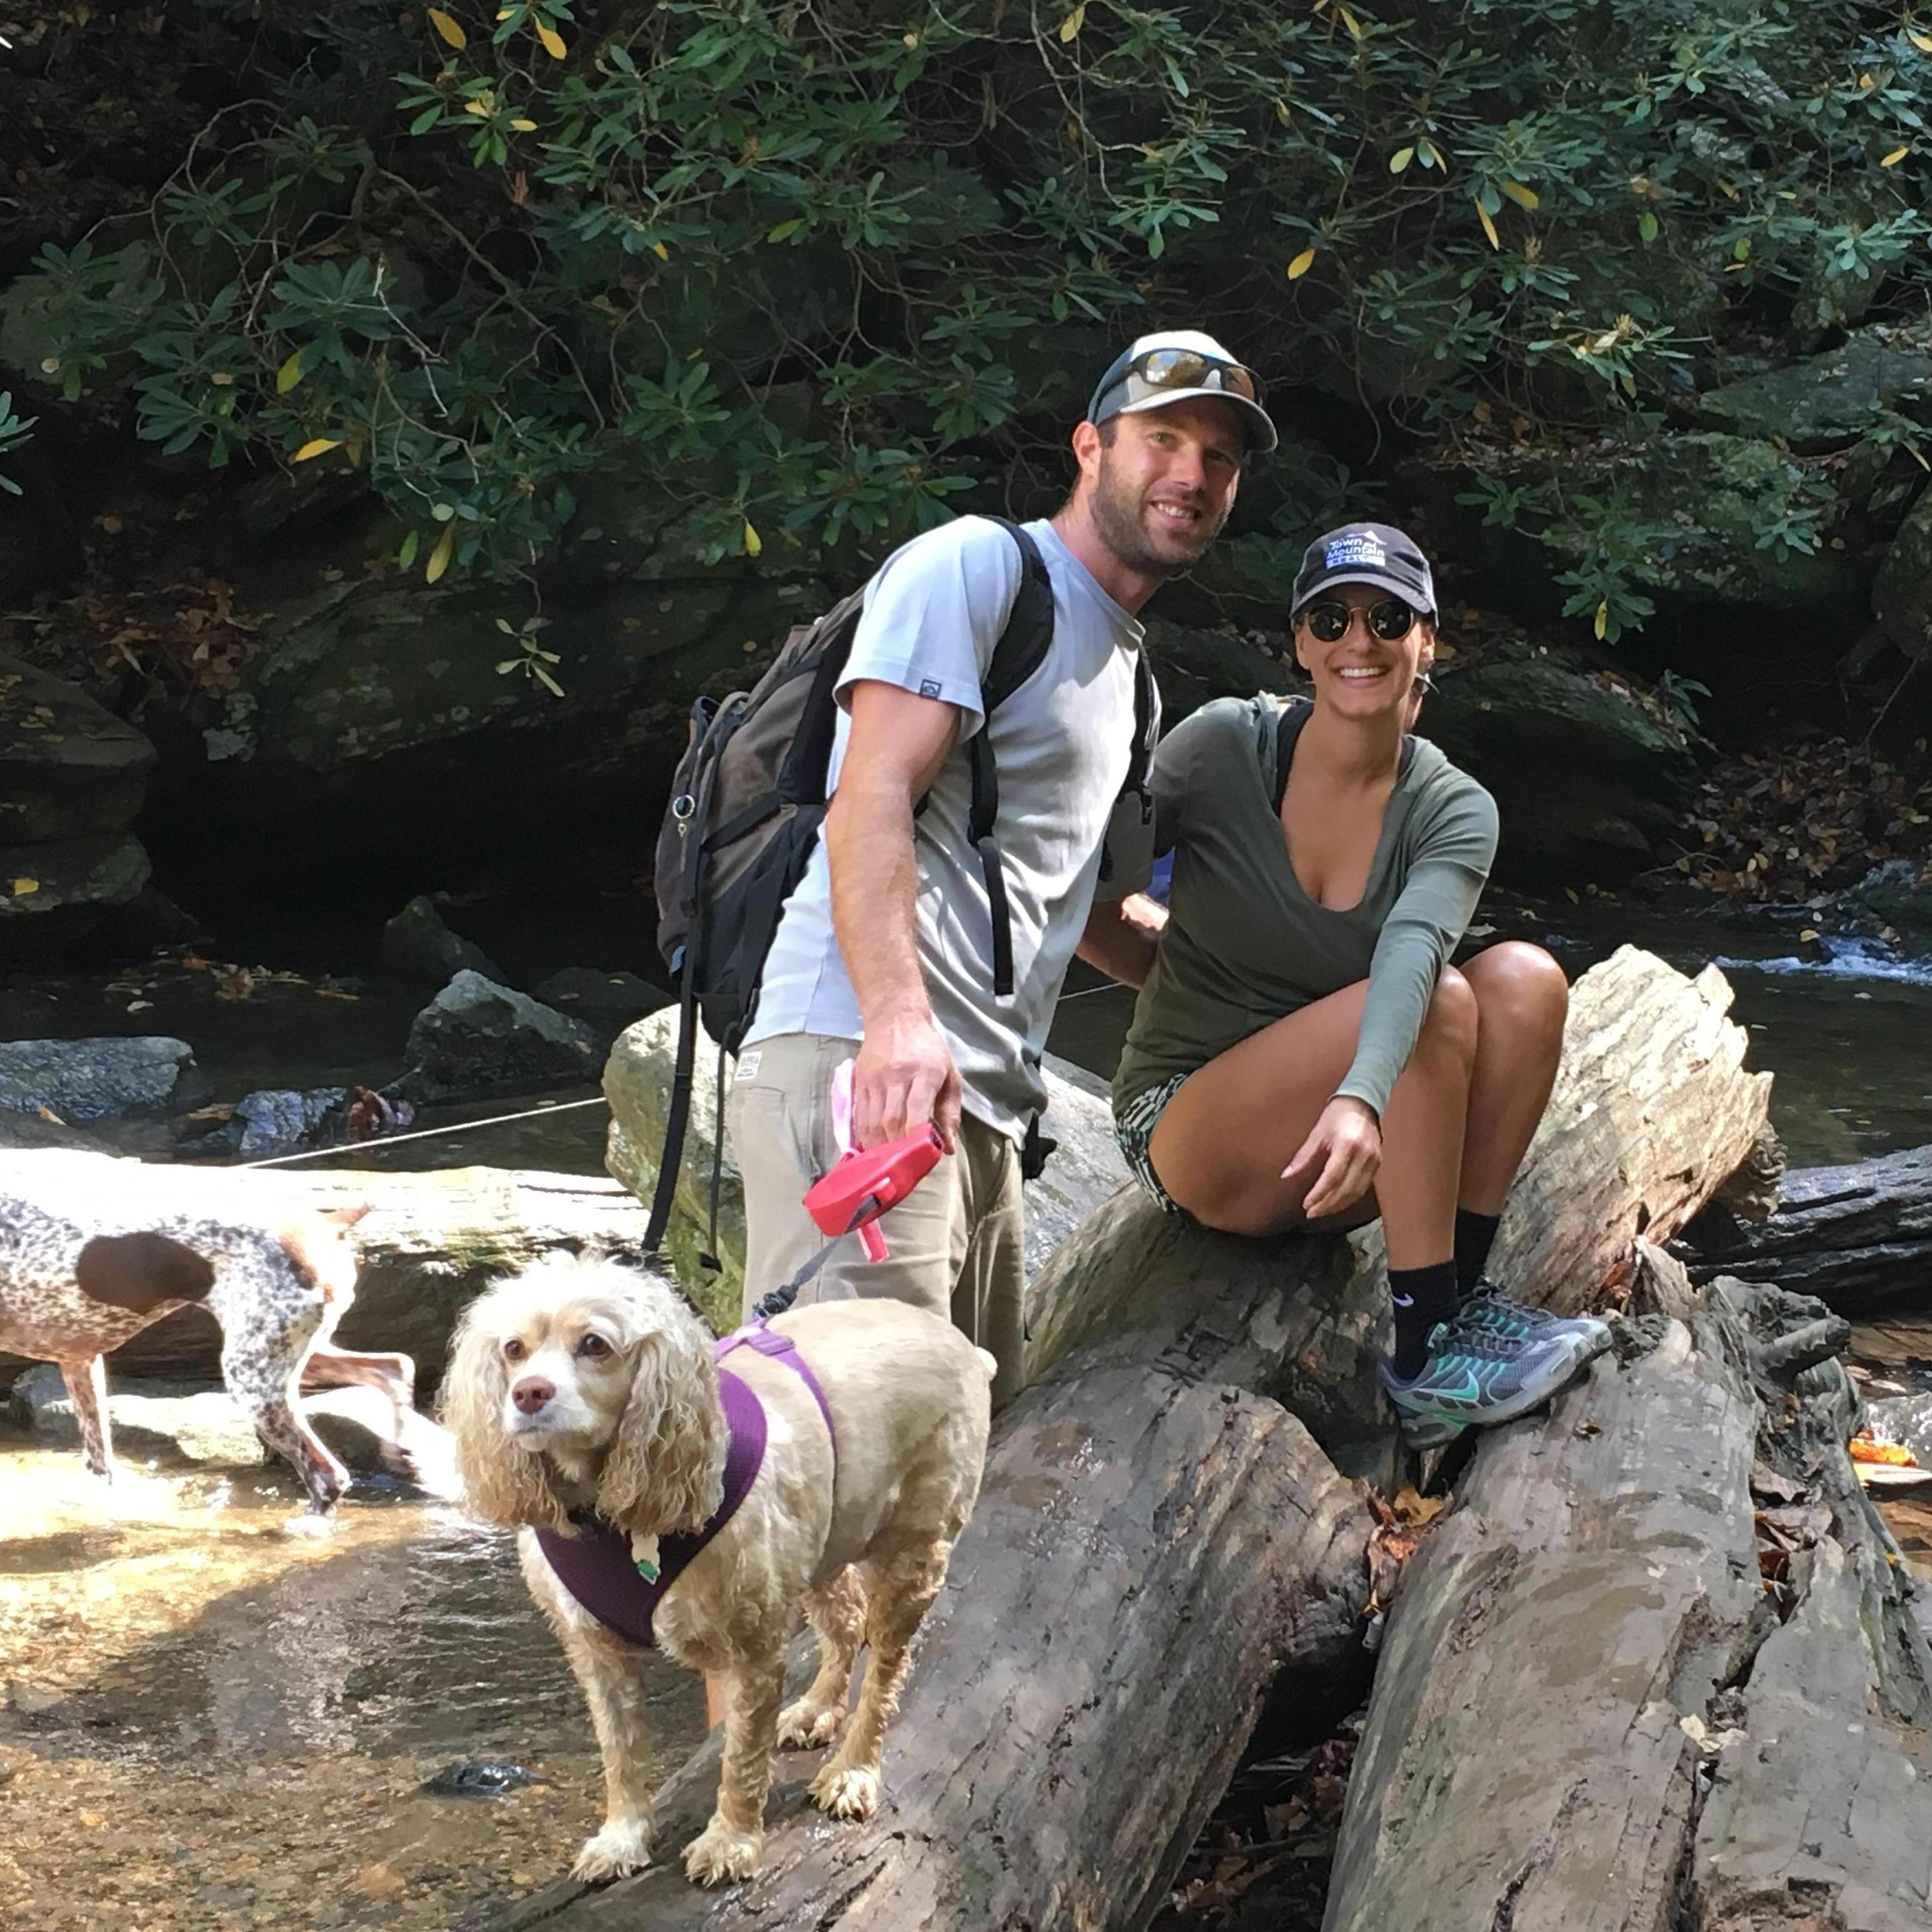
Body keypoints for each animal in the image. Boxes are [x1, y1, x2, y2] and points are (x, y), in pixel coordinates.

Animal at [0, 1144, 407, 1507]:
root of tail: (326, 1223)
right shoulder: (79, 1363)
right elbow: (102, 1464)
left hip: (255, 1380)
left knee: (326, 1476)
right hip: (295, 1355)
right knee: (394, 1366)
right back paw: (401, 1448)